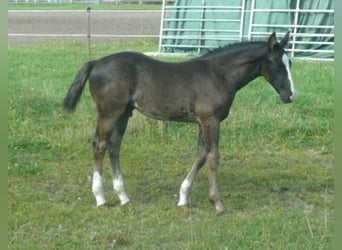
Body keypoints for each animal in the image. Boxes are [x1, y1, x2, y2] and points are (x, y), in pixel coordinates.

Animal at [63, 32, 296, 214]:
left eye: (290, 63)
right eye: (276, 63)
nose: (291, 95)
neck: (219, 75)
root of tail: (96, 62)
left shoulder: (203, 122)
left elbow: (200, 155)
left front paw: (183, 198)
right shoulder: (211, 120)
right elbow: (213, 157)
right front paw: (217, 204)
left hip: (124, 114)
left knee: (114, 147)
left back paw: (123, 197)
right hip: (110, 112)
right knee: (100, 145)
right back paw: (101, 198)